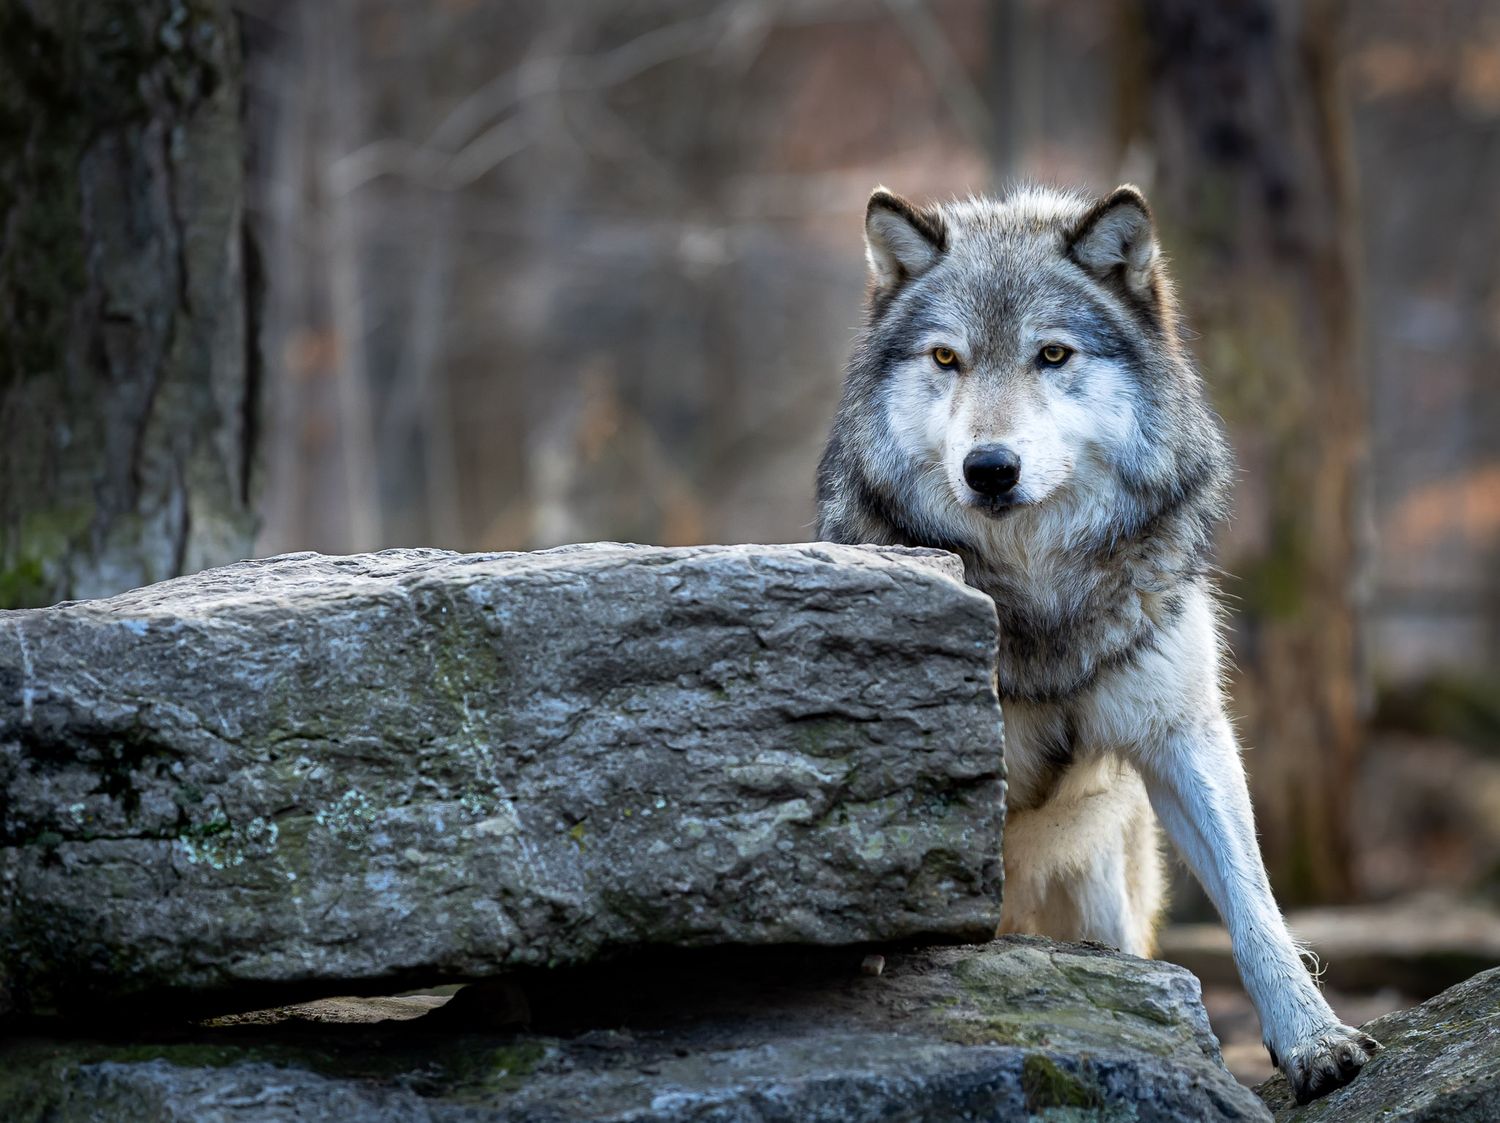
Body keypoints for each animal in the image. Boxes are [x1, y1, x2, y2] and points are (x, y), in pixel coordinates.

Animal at [816, 184, 1378, 1103]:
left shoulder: (1183, 733)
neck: (1042, 599)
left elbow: (1256, 904)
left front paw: (1314, 1039)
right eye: (947, 359)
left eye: (1052, 354)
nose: (990, 468)